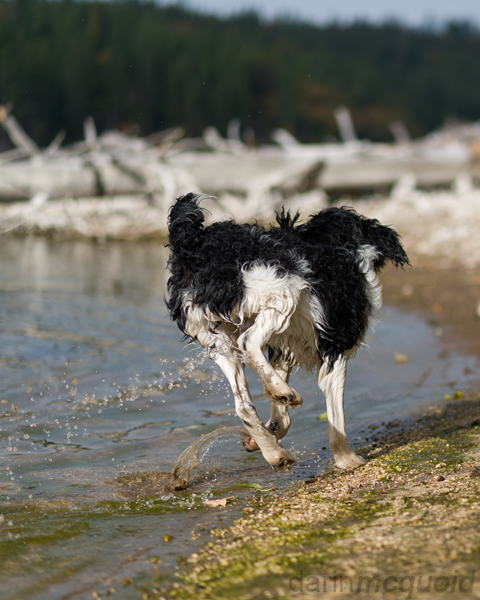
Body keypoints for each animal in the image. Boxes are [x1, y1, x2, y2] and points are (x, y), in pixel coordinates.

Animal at [165, 193, 409, 471]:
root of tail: (195, 246)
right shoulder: (336, 345)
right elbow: (335, 413)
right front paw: (347, 459)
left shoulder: (284, 348)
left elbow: (281, 419)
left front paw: (263, 435)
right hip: (282, 292)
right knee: (248, 341)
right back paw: (284, 394)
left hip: (217, 338)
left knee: (243, 405)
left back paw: (273, 449)